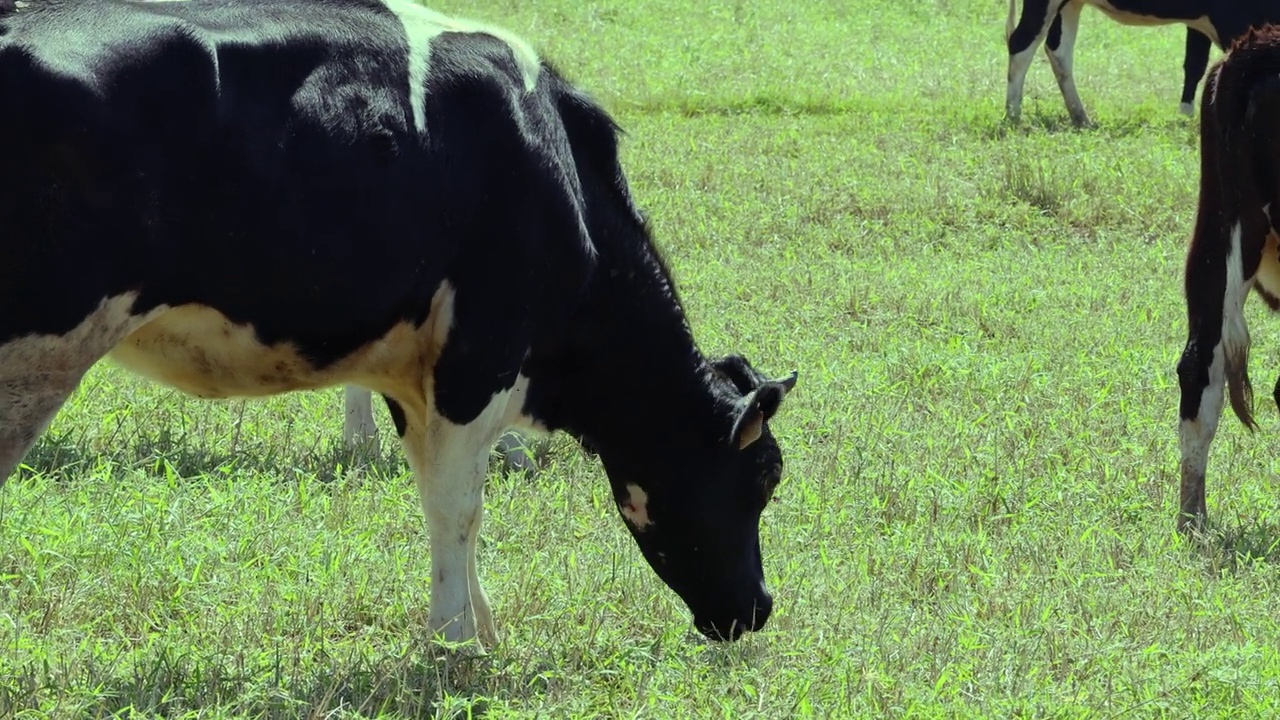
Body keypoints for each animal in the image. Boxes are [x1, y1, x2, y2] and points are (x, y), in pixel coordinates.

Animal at [0, 0, 793, 645]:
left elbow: (445, 501)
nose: (757, 608)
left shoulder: (416, 375)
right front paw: (455, 644)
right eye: (762, 477)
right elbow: (457, 508)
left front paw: (479, 626)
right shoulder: (478, 361)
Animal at [998, 0, 1280, 125]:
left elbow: (1194, 66)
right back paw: (1013, 115)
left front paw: (1186, 117)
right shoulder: (1232, 20)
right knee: (1021, 44)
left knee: (1059, 52)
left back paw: (1081, 117)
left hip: (1069, 4)